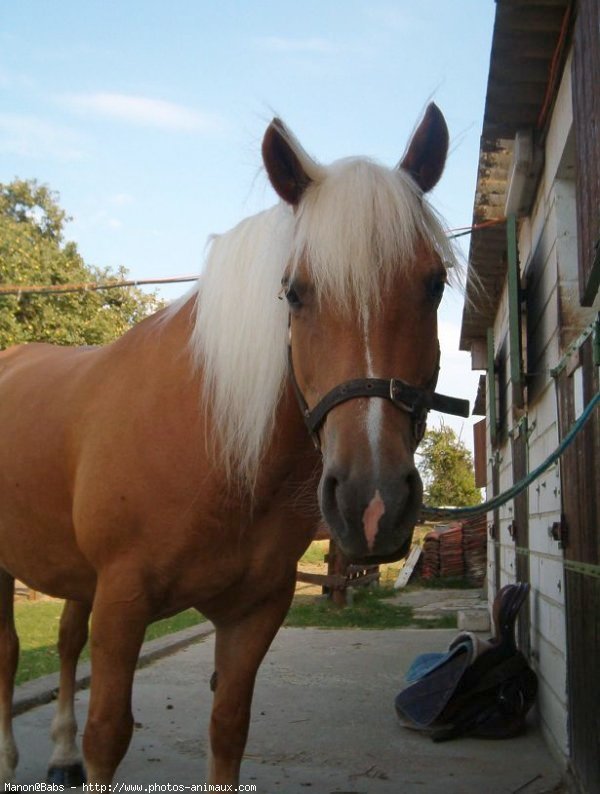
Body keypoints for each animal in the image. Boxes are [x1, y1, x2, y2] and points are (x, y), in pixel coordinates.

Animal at [0, 102, 468, 784]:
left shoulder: (255, 611)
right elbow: (107, 735)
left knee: (62, 640)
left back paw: (59, 754)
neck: (214, 447)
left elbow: (228, 730)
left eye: (434, 284)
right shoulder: (121, 606)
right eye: (294, 292)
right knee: (11, 652)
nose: (372, 504)